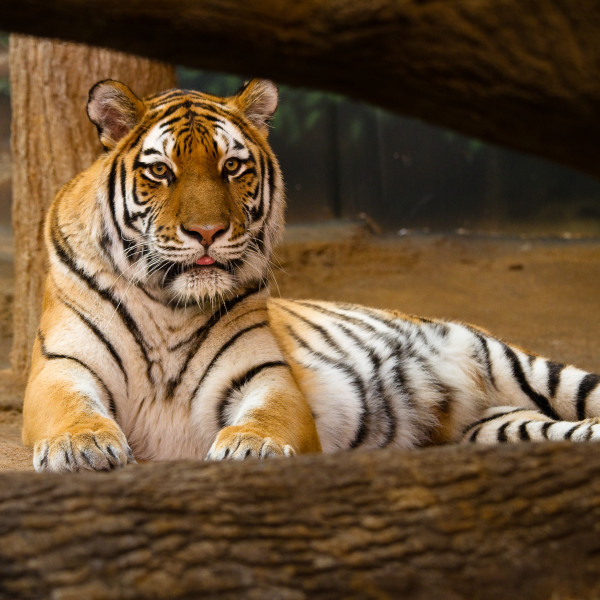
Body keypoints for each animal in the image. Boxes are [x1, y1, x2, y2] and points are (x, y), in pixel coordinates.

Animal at [21, 78, 600, 474]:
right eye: (160, 170)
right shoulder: (61, 367)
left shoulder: (266, 376)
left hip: (515, 362)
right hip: (498, 425)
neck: (169, 306)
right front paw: (81, 447)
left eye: (233, 167)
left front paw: (251, 446)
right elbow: (70, 408)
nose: (207, 232)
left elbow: (267, 417)